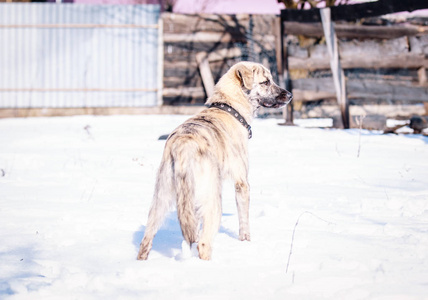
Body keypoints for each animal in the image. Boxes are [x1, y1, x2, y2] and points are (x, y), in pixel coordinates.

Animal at [139, 61, 292, 260]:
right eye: (265, 82)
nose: (290, 95)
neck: (230, 108)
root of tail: (182, 147)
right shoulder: (242, 183)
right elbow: (244, 221)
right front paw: (246, 242)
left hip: (161, 199)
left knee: (146, 239)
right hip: (213, 200)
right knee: (204, 243)